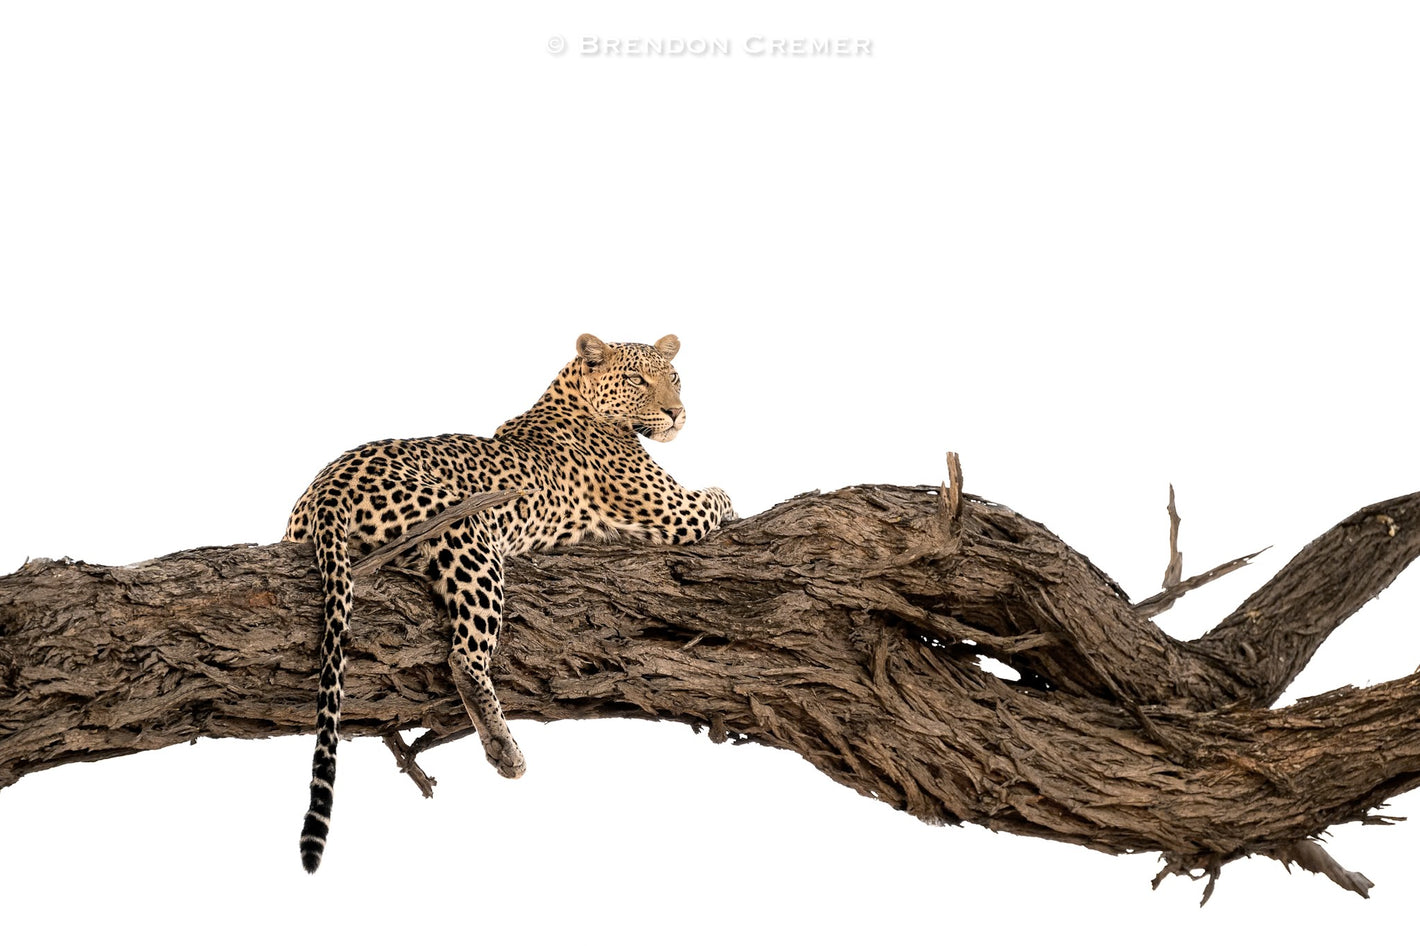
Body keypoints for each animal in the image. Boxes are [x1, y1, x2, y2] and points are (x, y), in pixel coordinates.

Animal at [283, 333, 735, 872]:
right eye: (636, 379)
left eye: (675, 378)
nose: (676, 412)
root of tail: (329, 482)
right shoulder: (674, 513)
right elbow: (719, 495)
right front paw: (729, 499)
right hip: (469, 535)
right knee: (463, 656)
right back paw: (504, 750)